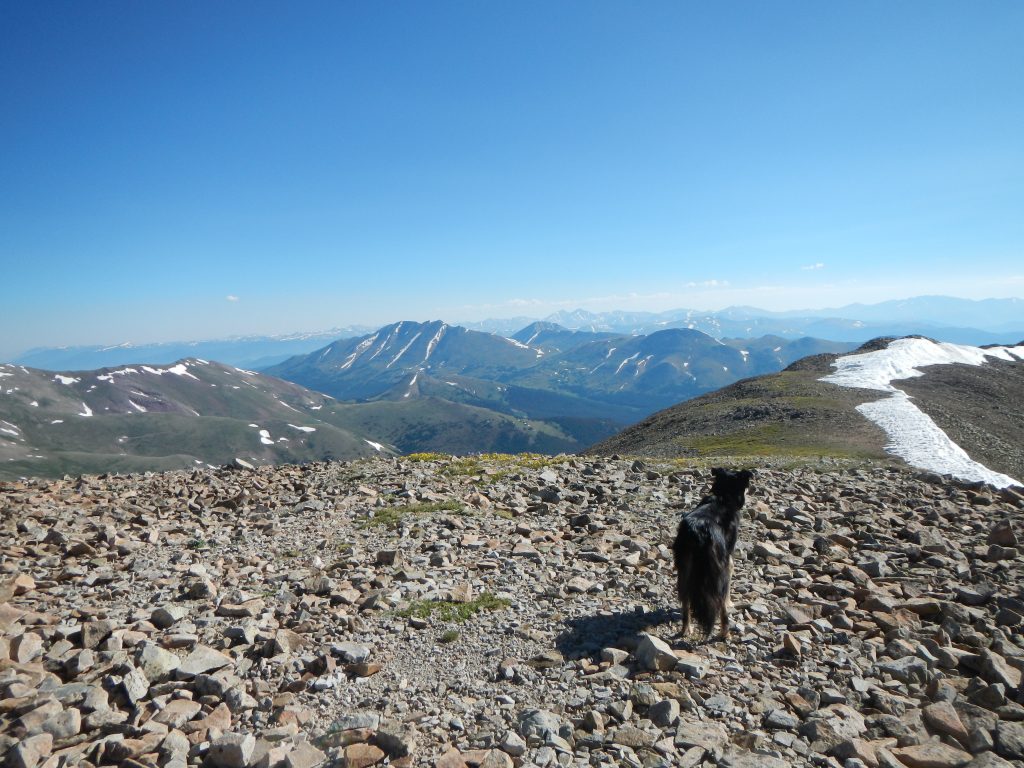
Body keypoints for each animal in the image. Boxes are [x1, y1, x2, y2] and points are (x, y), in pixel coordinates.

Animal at [671, 466, 753, 638]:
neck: (723, 496)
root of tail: (697, 530)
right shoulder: (728, 558)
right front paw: (730, 602)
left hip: (684, 568)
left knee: (685, 600)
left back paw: (686, 629)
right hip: (718, 570)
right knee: (721, 605)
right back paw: (725, 634)